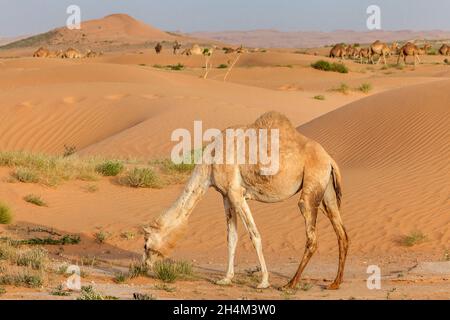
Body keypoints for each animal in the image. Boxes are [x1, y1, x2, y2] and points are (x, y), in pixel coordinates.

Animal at [143, 112, 348, 290]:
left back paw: (290, 284)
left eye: (146, 245)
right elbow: (232, 237)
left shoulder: (236, 193)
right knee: (342, 233)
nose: (144, 267)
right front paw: (226, 279)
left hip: (313, 181)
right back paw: (335, 283)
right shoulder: (226, 196)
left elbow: (254, 235)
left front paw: (263, 282)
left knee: (311, 234)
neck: (210, 160)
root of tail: (330, 160)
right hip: (327, 190)